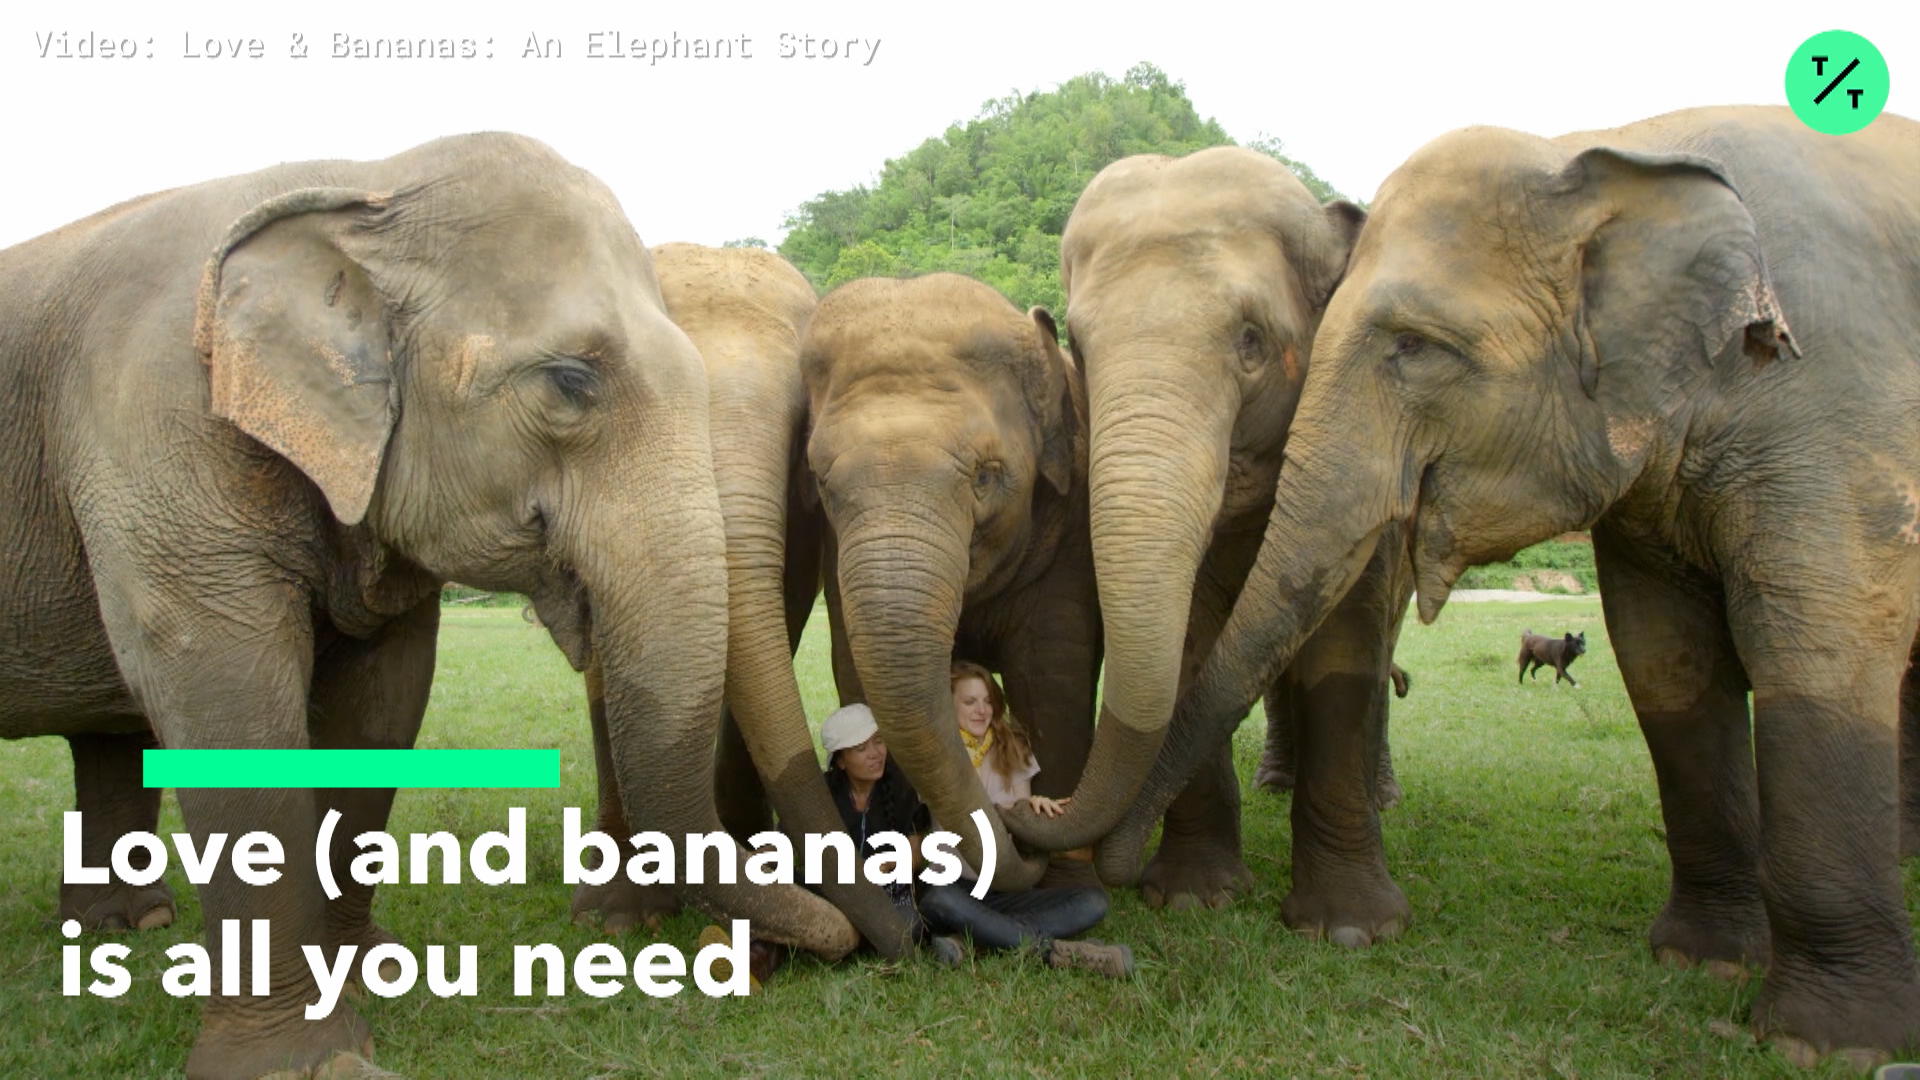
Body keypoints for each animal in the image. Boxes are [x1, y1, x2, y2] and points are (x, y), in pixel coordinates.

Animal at [0, 134, 856, 1079]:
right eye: (570, 381)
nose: (838, 940)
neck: (366, 185)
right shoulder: (153, 434)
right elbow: (227, 695)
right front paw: (304, 1060)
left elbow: (385, 697)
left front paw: (364, 976)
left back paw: (126, 928)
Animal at [801, 272, 1097, 890]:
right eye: (820, 479)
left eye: (987, 475)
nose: (1018, 826)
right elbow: (855, 669)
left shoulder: (1069, 527)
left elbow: (1051, 676)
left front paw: (1068, 867)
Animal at [1003, 146, 1414, 933]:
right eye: (1078, 346)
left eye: (1251, 341)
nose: (1031, 806)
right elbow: (1192, 640)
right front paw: (1194, 897)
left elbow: (1344, 643)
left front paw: (1350, 929)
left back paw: (1380, 796)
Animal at [1089, 107, 1920, 1066]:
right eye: (1074, 345)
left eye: (1414, 347)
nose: (1096, 866)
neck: (1616, 147)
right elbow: (1664, 658)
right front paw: (1705, 964)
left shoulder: (1836, 408)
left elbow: (1818, 651)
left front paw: (1823, 1047)